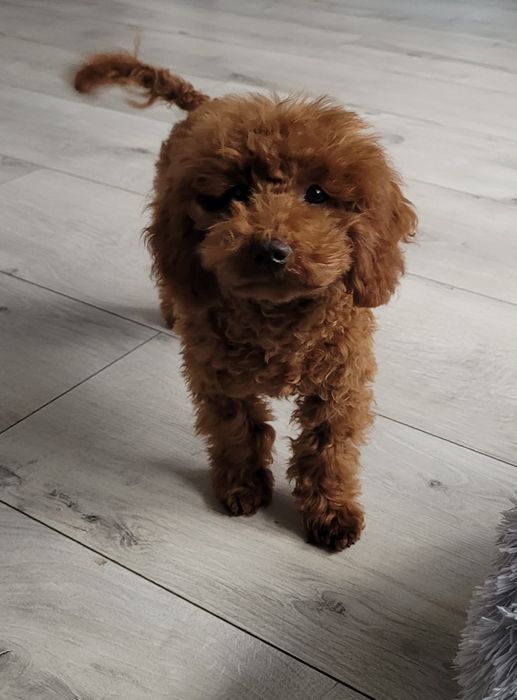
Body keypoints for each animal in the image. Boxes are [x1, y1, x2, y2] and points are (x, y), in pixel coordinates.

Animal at [74, 52, 416, 551]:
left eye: (317, 194)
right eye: (234, 195)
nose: (270, 250)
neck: (277, 318)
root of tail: (205, 103)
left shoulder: (340, 383)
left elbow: (328, 448)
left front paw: (331, 512)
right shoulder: (217, 378)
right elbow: (237, 429)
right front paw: (243, 486)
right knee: (173, 277)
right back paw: (173, 309)